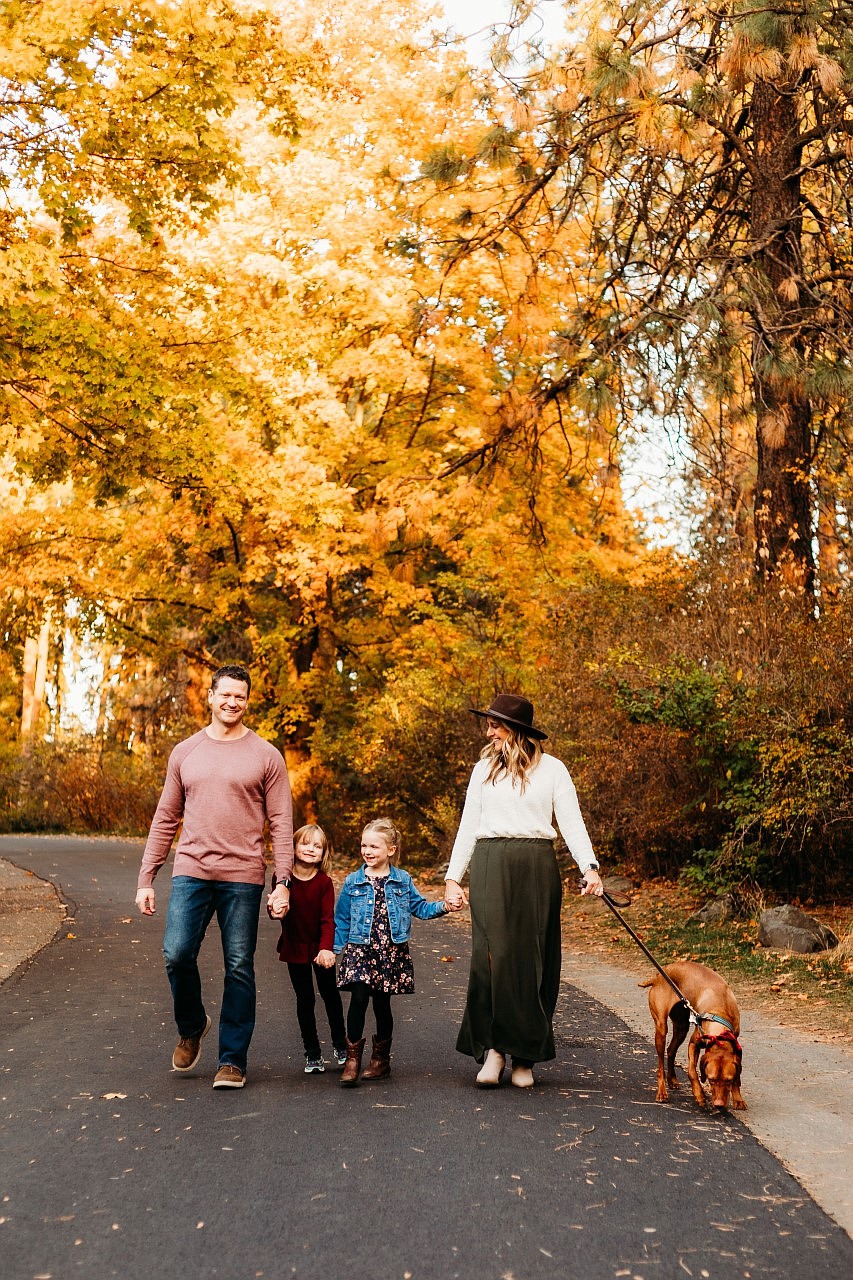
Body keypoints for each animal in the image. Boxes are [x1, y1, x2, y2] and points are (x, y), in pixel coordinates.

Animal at [637, 962, 742, 1111]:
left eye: (728, 1080)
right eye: (711, 1079)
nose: (719, 1105)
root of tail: (658, 976)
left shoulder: (736, 1047)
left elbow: (738, 1079)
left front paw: (738, 1099)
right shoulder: (693, 1044)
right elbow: (692, 1071)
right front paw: (699, 1095)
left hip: (681, 1026)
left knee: (671, 1050)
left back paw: (672, 1079)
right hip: (661, 1028)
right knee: (660, 1065)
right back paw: (662, 1092)